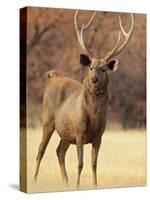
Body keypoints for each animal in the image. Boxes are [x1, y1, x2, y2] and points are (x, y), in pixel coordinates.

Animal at [34, 9, 134, 188]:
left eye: (104, 68)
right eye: (91, 67)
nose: (94, 79)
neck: (93, 117)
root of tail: (53, 77)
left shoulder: (99, 136)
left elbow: (94, 164)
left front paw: (94, 185)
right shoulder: (79, 132)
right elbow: (81, 163)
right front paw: (77, 186)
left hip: (66, 133)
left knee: (59, 151)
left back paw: (65, 182)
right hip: (48, 120)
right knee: (41, 149)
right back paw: (35, 179)